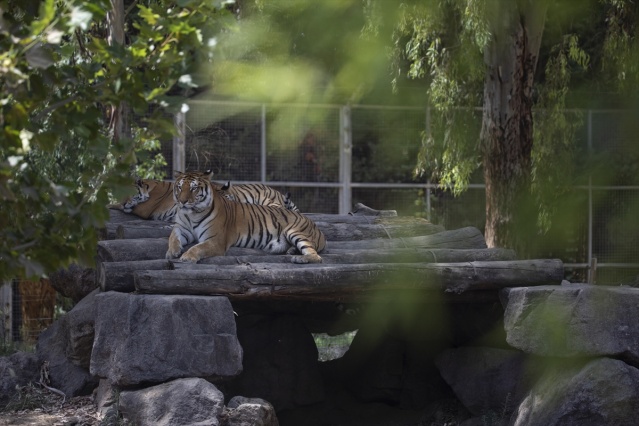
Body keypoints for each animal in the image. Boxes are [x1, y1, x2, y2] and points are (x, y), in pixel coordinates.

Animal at [166, 170, 324, 262]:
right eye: (179, 187)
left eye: (194, 188)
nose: (182, 201)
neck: (192, 214)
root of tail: (317, 228)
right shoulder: (182, 229)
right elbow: (172, 237)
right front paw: (172, 252)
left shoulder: (216, 240)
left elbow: (198, 248)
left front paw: (187, 257)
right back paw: (291, 251)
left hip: (295, 232)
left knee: (317, 256)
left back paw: (299, 258)